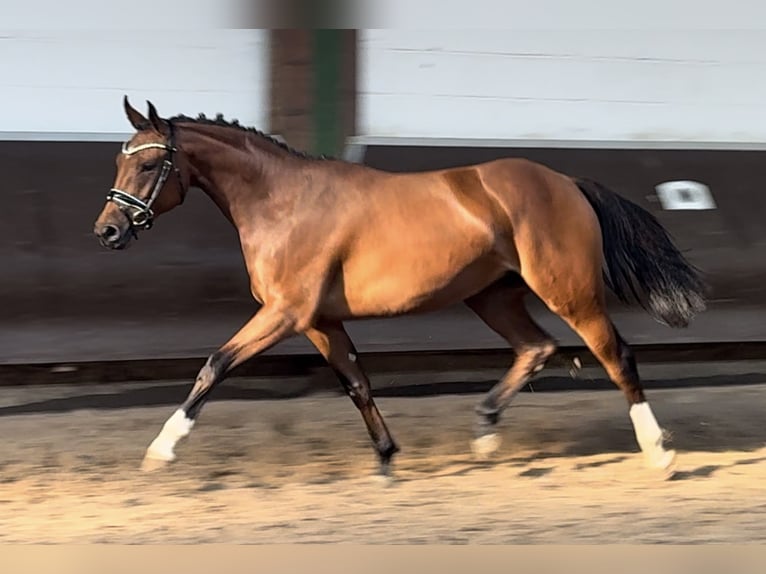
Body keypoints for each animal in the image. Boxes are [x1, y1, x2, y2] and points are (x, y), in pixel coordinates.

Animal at [94, 97, 708, 480]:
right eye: (120, 161)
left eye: (149, 164)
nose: (108, 231)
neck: (282, 201)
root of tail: (567, 183)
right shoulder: (321, 321)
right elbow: (357, 384)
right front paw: (387, 459)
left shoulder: (286, 314)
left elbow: (216, 364)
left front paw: (162, 448)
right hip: (492, 294)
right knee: (537, 347)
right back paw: (485, 433)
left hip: (568, 291)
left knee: (615, 355)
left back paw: (660, 454)